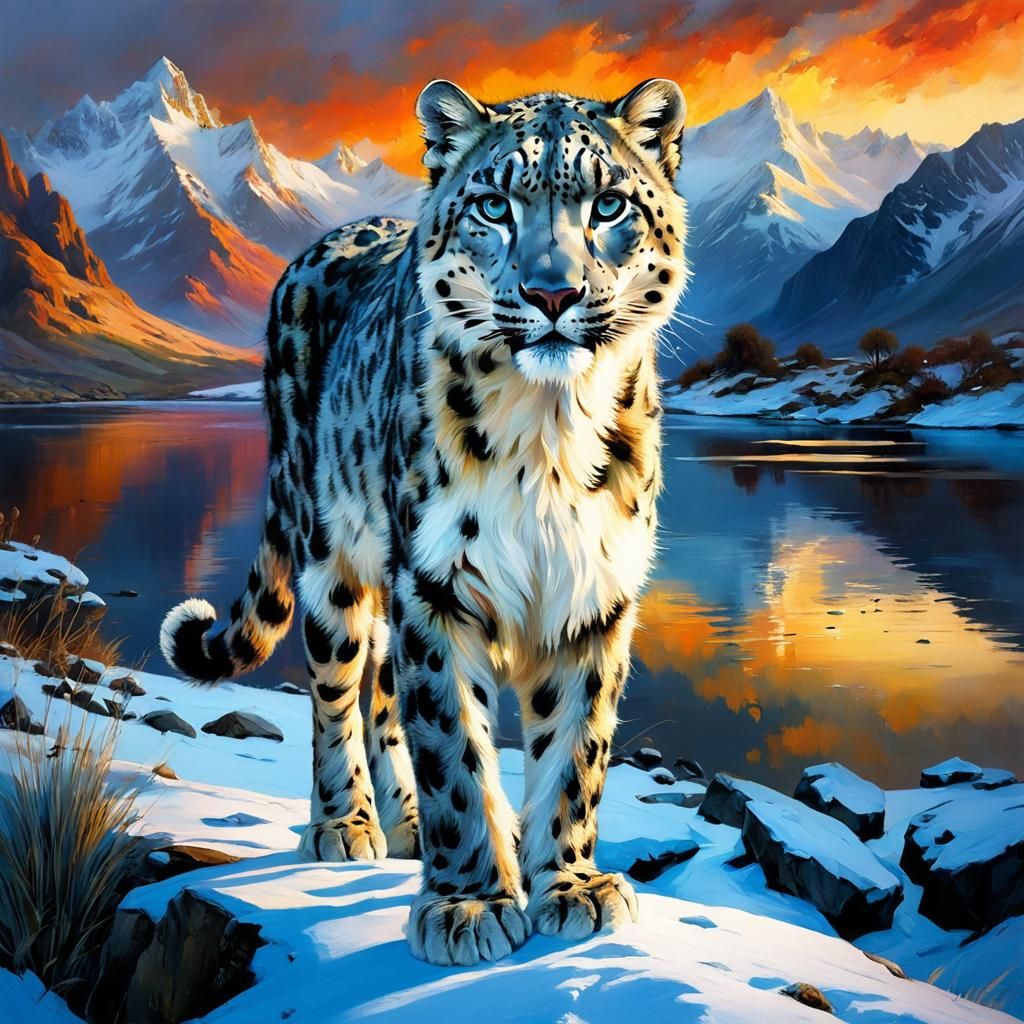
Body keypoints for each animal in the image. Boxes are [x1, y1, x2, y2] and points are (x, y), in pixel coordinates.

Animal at [160, 77, 688, 967]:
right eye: (495, 205)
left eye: (610, 203)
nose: (554, 294)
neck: (550, 431)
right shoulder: (438, 586)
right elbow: (453, 746)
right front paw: (470, 905)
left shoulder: (595, 592)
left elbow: (576, 747)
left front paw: (573, 887)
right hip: (334, 557)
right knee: (338, 687)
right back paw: (345, 823)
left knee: (378, 684)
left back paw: (402, 822)